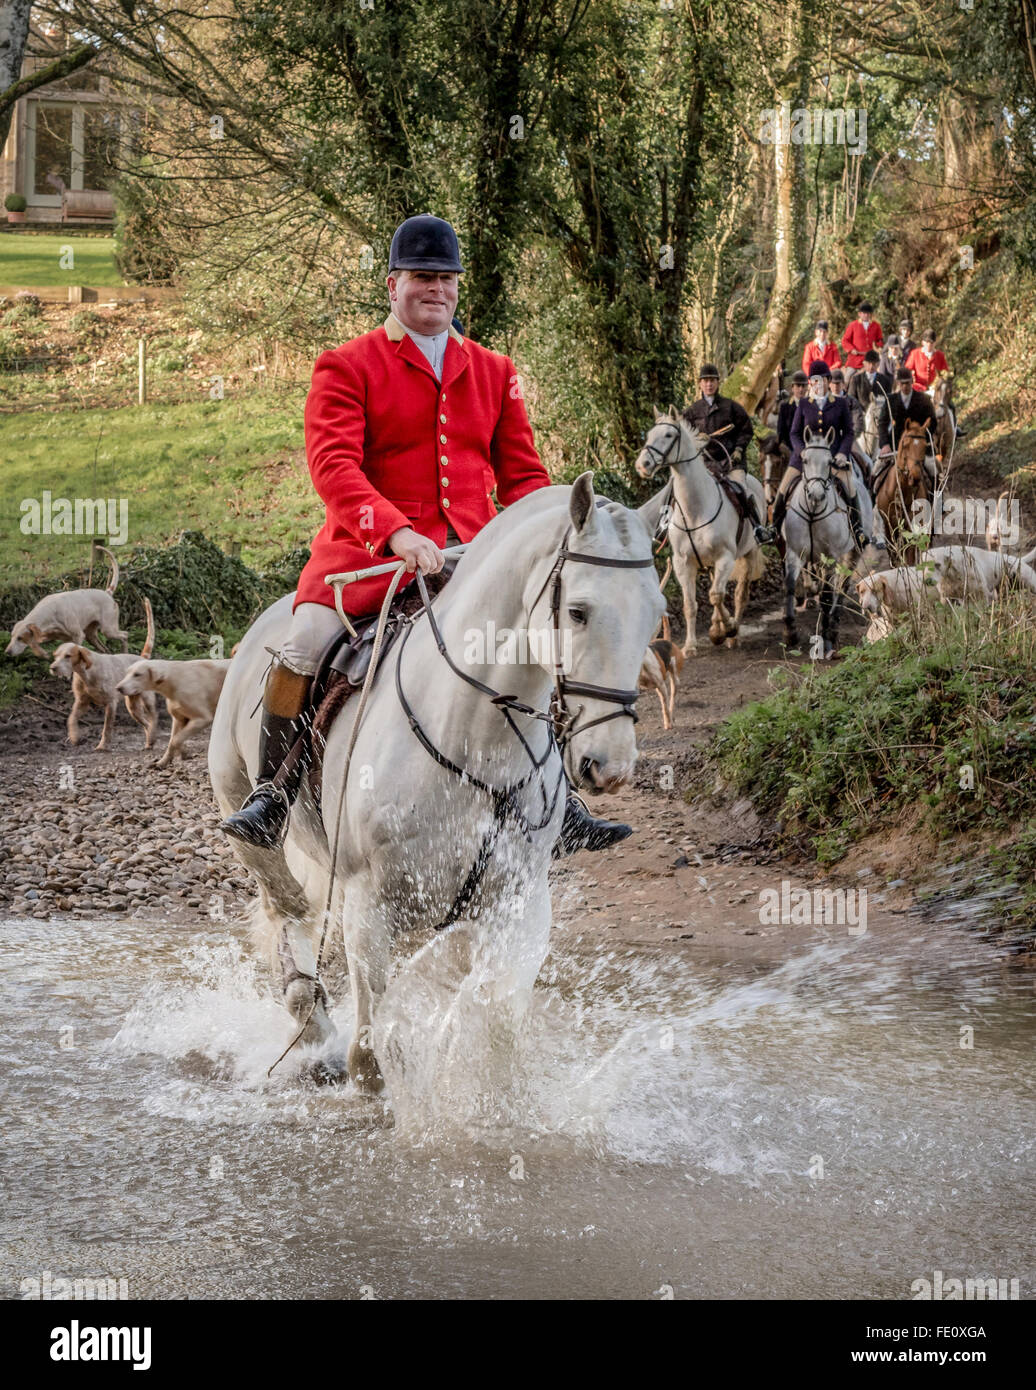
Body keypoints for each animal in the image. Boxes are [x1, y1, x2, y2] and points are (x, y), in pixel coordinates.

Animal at [208, 478, 661, 1095]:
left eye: (657, 614)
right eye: (578, 611)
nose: (608, 764)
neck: (476, 740)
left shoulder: (518, 903)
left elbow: (490, 1014)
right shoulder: (370, 906)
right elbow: (370, 1058)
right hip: (258, 838)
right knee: (290, 925)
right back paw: (311, 1027)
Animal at [631, 405, 767, 656]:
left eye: (669, 435)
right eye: (649, 435)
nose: (643, 465)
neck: (696, 508)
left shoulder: (725, 557)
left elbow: (716, 595)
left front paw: (726, 629)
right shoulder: (682, 562)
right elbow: (691, 604)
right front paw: (692, 644)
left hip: (748, 553)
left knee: (738, 595)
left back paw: (732, 634)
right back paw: (717, 626)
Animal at [873, 417, 928, 564]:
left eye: (925, 446)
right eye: (905, 444)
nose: (915, 476)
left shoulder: (912, 525)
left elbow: (910, 554)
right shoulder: (889, 526)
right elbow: (893, 553)